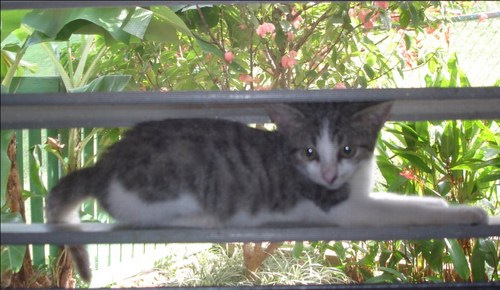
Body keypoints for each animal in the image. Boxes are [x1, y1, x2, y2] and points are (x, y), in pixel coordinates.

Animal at [45, 101, 486, 282]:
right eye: (310, 152)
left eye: (347, 150)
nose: (329, 174)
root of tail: (104, 165)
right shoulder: (339, 207)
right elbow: (401, 210)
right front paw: (467, 212)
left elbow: (405, 200)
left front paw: (444, 200)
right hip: (168, 185)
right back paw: (202, 217)